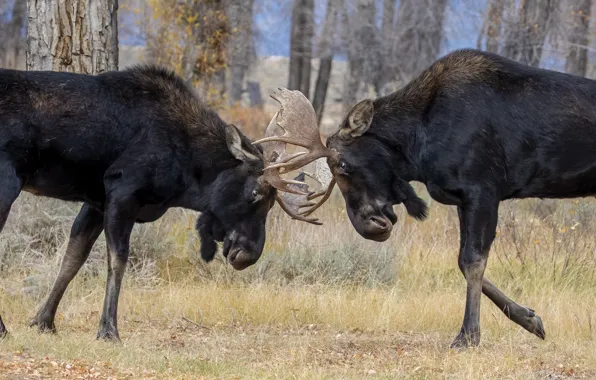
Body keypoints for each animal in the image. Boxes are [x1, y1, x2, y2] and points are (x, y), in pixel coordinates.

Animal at [0, 65, 324, 342]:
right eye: (256, 192)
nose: (249, 254)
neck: (189, 176)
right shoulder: (122, 191)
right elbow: (118, 260)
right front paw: (108, 330)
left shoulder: (96, 202)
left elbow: (73, 258)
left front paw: (44, 321)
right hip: (8, 181)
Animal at [264, 49, 596, 348]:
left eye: (342, 164)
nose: (369, 226)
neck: (417, 146)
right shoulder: (463, 200)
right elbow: (463, 262)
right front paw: (529, 318)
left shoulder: (483, 191)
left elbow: (473, 261)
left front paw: (468, 336)